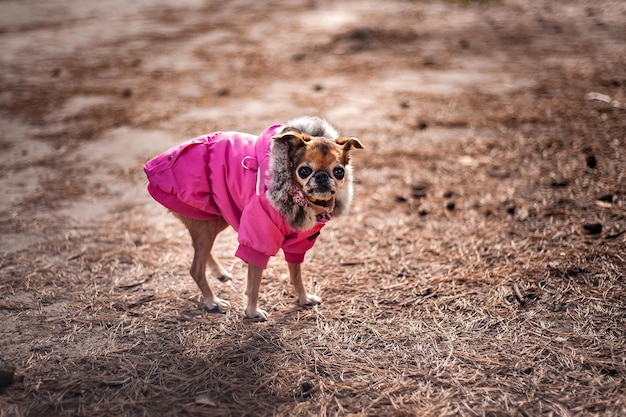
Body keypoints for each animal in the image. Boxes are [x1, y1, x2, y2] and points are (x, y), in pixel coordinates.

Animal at [144, 116, 360, 318]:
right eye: (304, 170)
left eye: (339, 171)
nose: (322, 176)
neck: (299, 198)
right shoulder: (258, 240)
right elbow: (255, 282)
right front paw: (252, 311)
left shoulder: (297, 244)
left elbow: (295, 275)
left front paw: (303, 298)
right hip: (207, 225)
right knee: (196, 268)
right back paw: (212, 301)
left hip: (216, 217)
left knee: (200, 251)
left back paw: (219, 273)